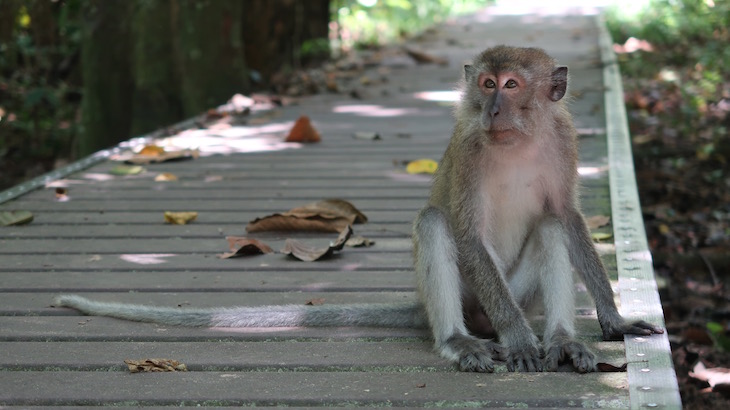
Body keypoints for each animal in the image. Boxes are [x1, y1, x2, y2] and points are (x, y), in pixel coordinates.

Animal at [55, 46, 660, 374]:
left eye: (511, 85)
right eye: (488, 83)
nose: (491, 108)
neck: (516, 140)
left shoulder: (562, 140)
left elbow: (568, 216)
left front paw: (610, 320)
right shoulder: (469, 148)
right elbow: (465, 232)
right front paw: (516, 338)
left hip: (519, 289)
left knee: (551, 226)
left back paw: (561, 342)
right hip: (479, 299)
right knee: (435, 224)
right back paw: (461, 341)